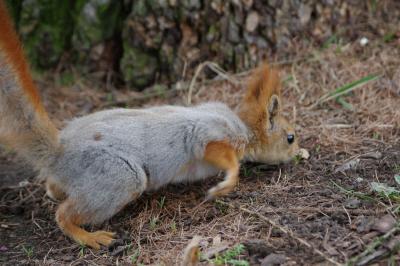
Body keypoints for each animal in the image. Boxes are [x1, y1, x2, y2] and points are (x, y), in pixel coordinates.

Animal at [0, 2, 300, 248]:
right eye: (290, 137)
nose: (297, 154)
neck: (243, 127)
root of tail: (59, 153)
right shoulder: (213, 135)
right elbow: (222, 156)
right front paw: (225, 185)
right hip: (119, 175)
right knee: (63, 213)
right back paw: (89, 236)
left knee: (54, 189)